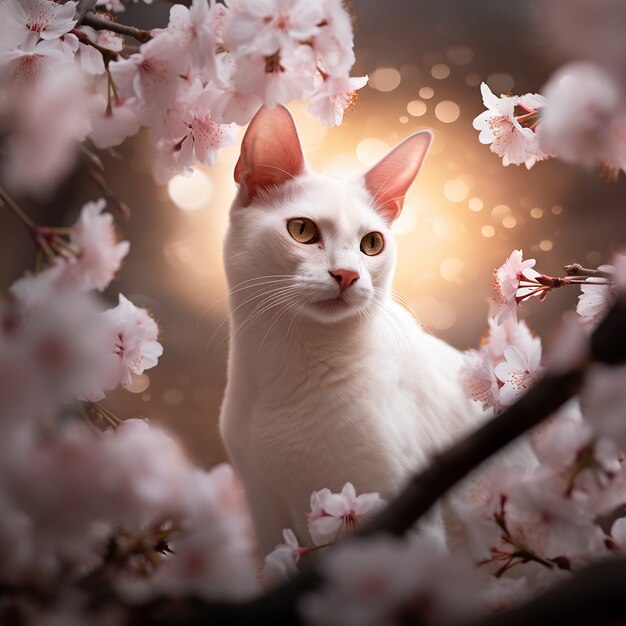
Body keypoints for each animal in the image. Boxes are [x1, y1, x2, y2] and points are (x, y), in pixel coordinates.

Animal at [222, 105, 480, 552]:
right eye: (302, 230)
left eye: (372, 244)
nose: (346, 275)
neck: (289, 365)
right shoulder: (267, 515)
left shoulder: (408, 522)